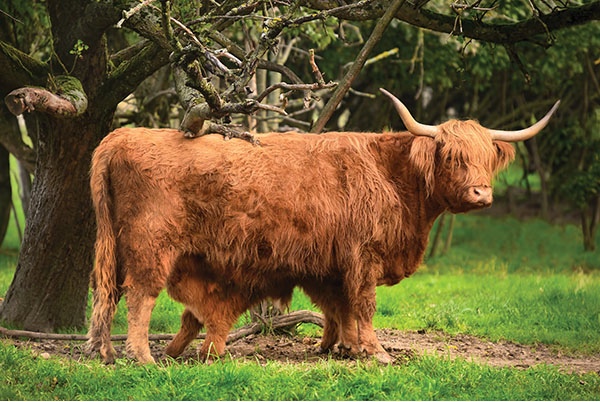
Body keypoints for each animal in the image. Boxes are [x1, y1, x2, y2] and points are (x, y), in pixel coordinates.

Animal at [84, 88, 556, 364]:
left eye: (486, 158)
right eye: (453, 157)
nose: (481, 194)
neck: (394, 177)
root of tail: (121, 137)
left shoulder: (330, 262)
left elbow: (337, 306)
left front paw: (339, 347)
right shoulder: (363, 256)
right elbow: (363, 305)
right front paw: (375, 353)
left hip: (117, 247)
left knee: (108, 294)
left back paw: (106, 352)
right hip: (151, 246)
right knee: (140, 296)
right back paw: (142, 357)